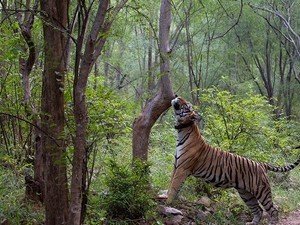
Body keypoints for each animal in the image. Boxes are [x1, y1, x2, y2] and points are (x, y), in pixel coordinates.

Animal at [166, 96, 300, 225]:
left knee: (273, 210)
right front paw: (165, 197)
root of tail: (261, 164)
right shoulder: (176, 166)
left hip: (261, 191)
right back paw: (252, 223)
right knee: (258, 210)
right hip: (246, 193)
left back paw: (272, 222)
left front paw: (168, 202)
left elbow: (174, 187)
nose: (177, 96)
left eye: (187, 105)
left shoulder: (182, 168)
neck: (183, 129)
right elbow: (171, 183)